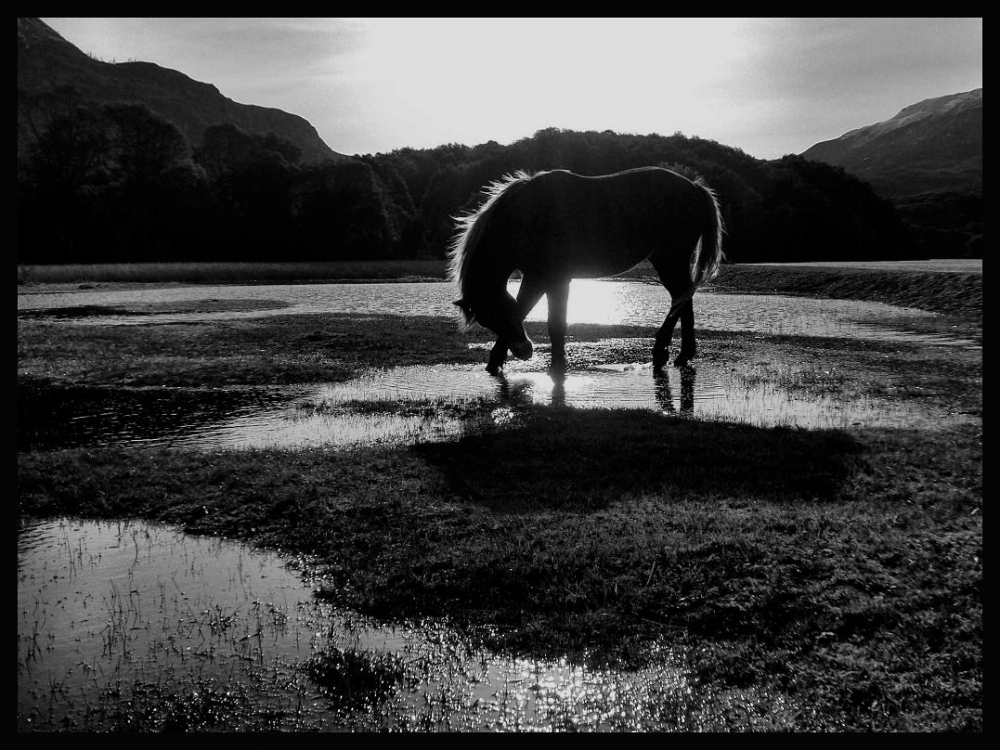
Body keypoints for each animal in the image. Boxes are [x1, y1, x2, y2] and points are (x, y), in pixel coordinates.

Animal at [450, 167, 724, 374]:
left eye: (500, 310)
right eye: (487, 320)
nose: (524, 351)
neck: (526, 215)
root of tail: (695, 187)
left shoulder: (556, 279)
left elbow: (554, 322)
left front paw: (557, 367)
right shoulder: (536, 277)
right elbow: (524, 308)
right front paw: (494, 363)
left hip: (670, 259)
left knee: (680, 298)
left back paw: (665, 352)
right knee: (683, 298)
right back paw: (681, 355)